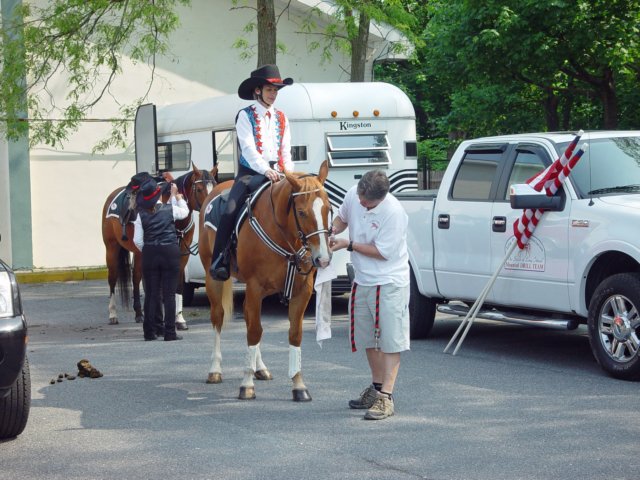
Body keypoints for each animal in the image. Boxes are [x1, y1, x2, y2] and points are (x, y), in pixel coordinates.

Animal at [101, 165, 216, 326]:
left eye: (215, 186)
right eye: (199, 189)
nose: (208, 207)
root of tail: (112, 196)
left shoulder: (183, 254)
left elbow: (178, 284)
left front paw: (179, 318)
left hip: (138, 253)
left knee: (136, 277)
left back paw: (139, 313)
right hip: (112, 248)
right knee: (112, 278)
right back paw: (113, 314)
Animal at [199, 161, 330, 402]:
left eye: (328, 209)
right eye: (301, 212)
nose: (323, 259)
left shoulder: (302, 291)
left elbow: (293, 334)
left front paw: (298, 385)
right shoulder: (255, 286)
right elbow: (254, 331)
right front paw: (246, 384)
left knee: (248, 317)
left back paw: (259, 368)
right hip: (213, 279)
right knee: (218, 317)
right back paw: (215, 370)